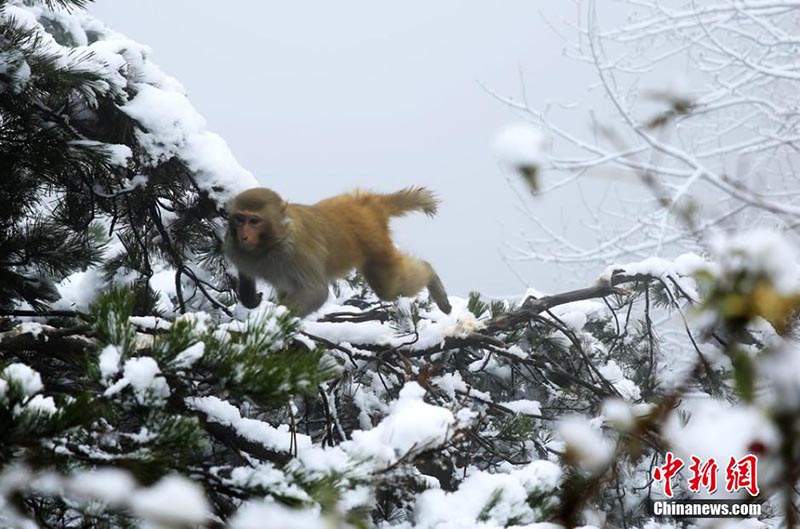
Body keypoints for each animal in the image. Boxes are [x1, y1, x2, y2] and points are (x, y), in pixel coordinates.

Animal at [222, 188, 454, 316]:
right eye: (240, 219)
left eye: (254, 221)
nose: (244, 236)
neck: (273, 242)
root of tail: (366, 205)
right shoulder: (233, 248)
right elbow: (246, 273)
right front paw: (250, 299)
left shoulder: (297, 255)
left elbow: (316, 292)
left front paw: (272, 321)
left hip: (376, 242)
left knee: (389, 288)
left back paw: (431, 275)